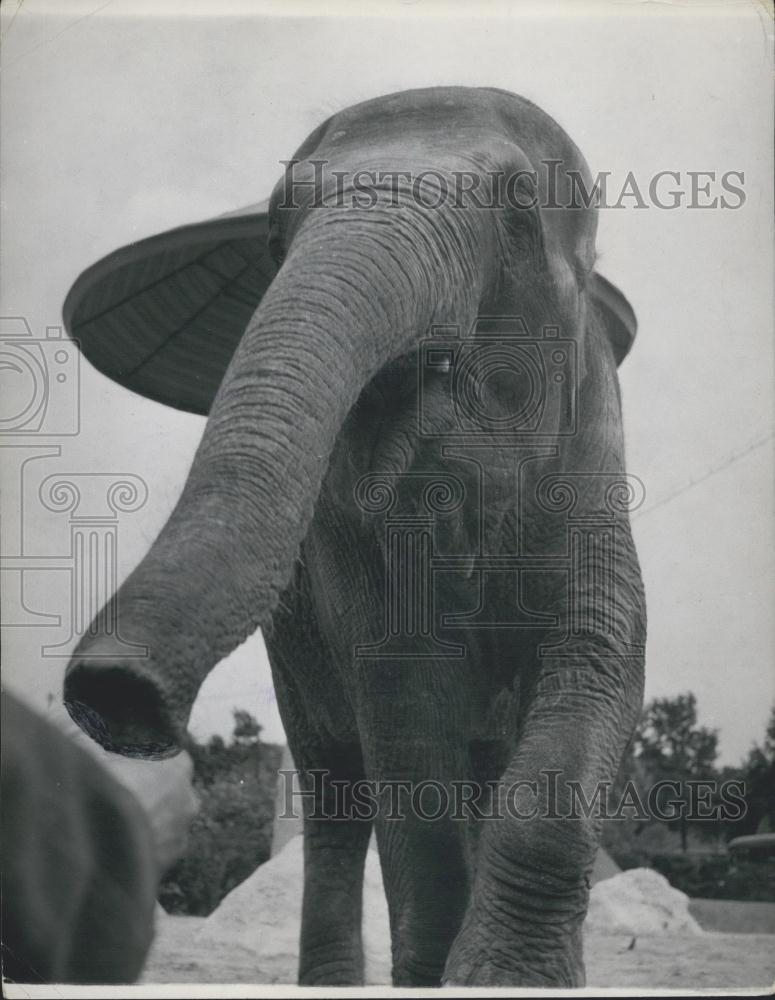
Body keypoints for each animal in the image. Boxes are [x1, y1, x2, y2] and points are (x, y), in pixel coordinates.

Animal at [62, 86, 646, 987]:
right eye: (276, 229)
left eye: (518, 211)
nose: (113, 694)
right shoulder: (355, 555)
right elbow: (404, 708)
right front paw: (443, 972)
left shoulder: (593, 472)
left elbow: (597, 655)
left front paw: (502, 979)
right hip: (294, 650)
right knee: (335, 791)